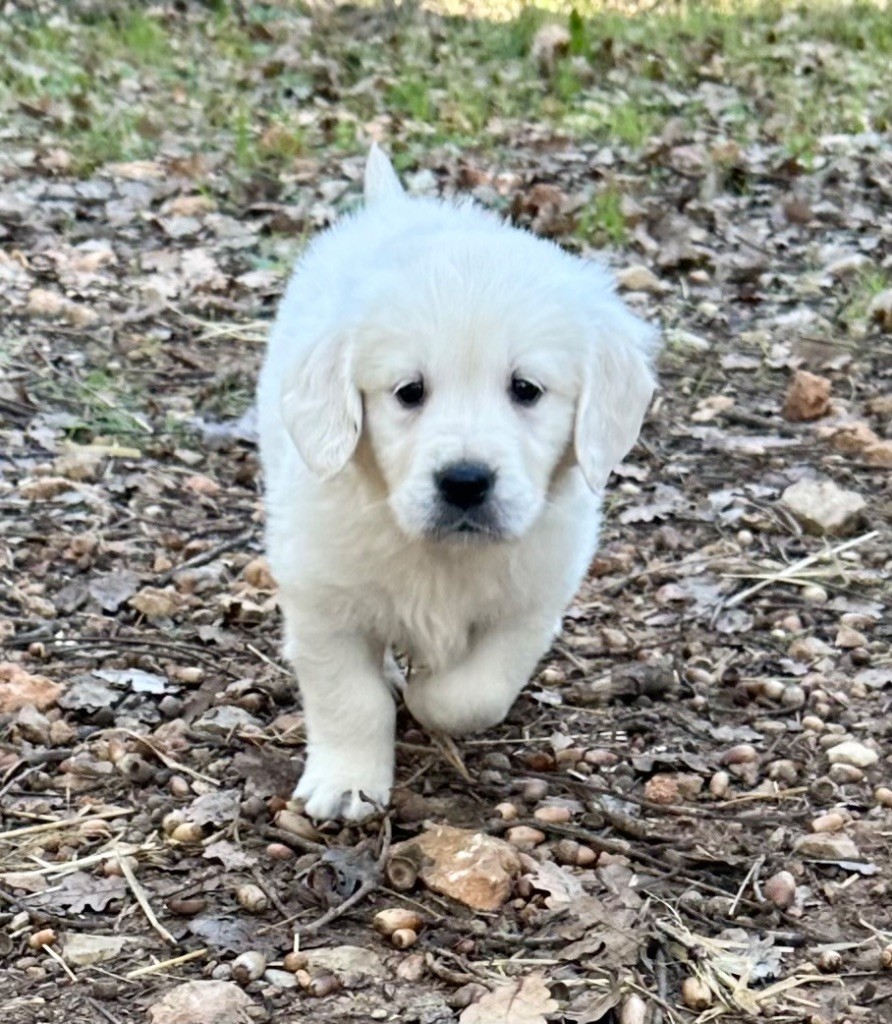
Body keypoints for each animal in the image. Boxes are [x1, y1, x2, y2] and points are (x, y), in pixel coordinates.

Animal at [255, 149, 659, 823]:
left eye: (526, 389)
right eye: (408, 391)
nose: (466, 482)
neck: (443, 552)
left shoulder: (533, 601)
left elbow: (474, 693)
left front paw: (427, 696)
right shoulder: (322, 601)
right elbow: (349, 697)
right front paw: (347, 783)